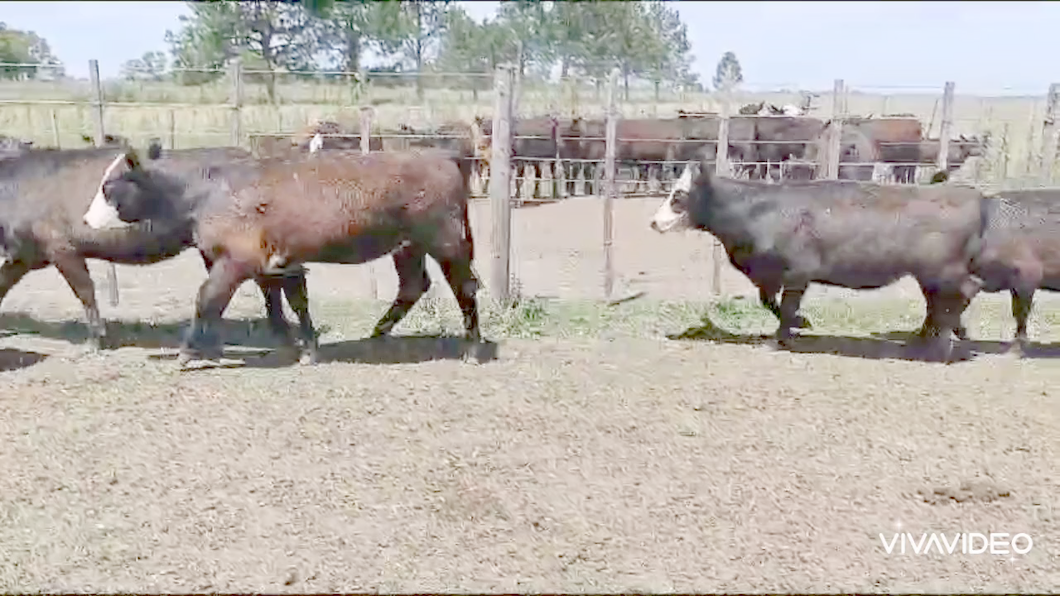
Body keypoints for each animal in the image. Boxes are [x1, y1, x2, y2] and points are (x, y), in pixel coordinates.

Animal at [81, 146, 485, 364]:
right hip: (408, 247)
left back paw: (472, 347)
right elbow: (296, 301)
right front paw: (308, 348)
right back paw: (378, 331)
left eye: (109, 186)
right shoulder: (283, 263)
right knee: (413, 285)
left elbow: (206, 299)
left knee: (464, 287)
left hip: (446, 243)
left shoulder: (235, 262)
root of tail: (442, 156)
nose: (84, 219)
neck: (205, 191)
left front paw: (187, 352)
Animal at [648, 160, 987, 360]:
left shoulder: (797, 273)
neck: (761, 210)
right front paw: (800, 324)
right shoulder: (772, 276)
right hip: (928, 275)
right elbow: (769, 302)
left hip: (943, 271)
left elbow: (785, 306)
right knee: (939, 302)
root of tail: (972, 196)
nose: (653, 222)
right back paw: (929, 339)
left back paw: (942, 345)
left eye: (678, 196)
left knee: (965, 291)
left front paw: (781, 337)